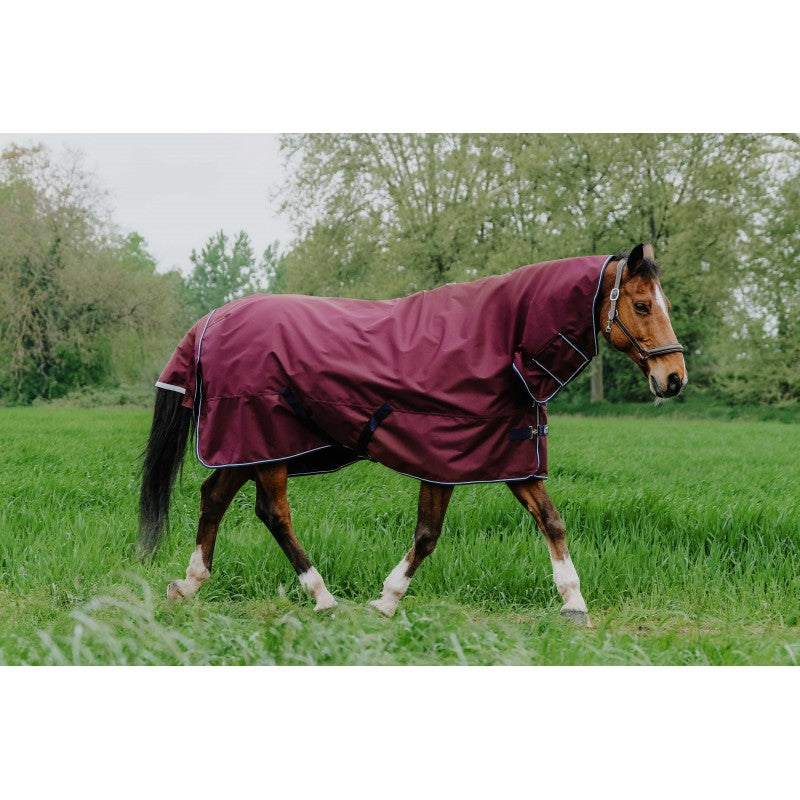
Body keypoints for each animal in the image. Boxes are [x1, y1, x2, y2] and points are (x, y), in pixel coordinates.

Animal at [138, 243, 686, 625]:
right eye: (642, 306)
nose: (674, 378)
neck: (499, 339)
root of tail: (211, 319)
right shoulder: (443, 457)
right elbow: (427, 536)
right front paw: (386, 601)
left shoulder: (509, 454)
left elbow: (551, 522)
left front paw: (574, 603)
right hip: (266, 443)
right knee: (273, 513)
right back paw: (322, 597)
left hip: (246, 448)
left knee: (214, 496)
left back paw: (189, 583)